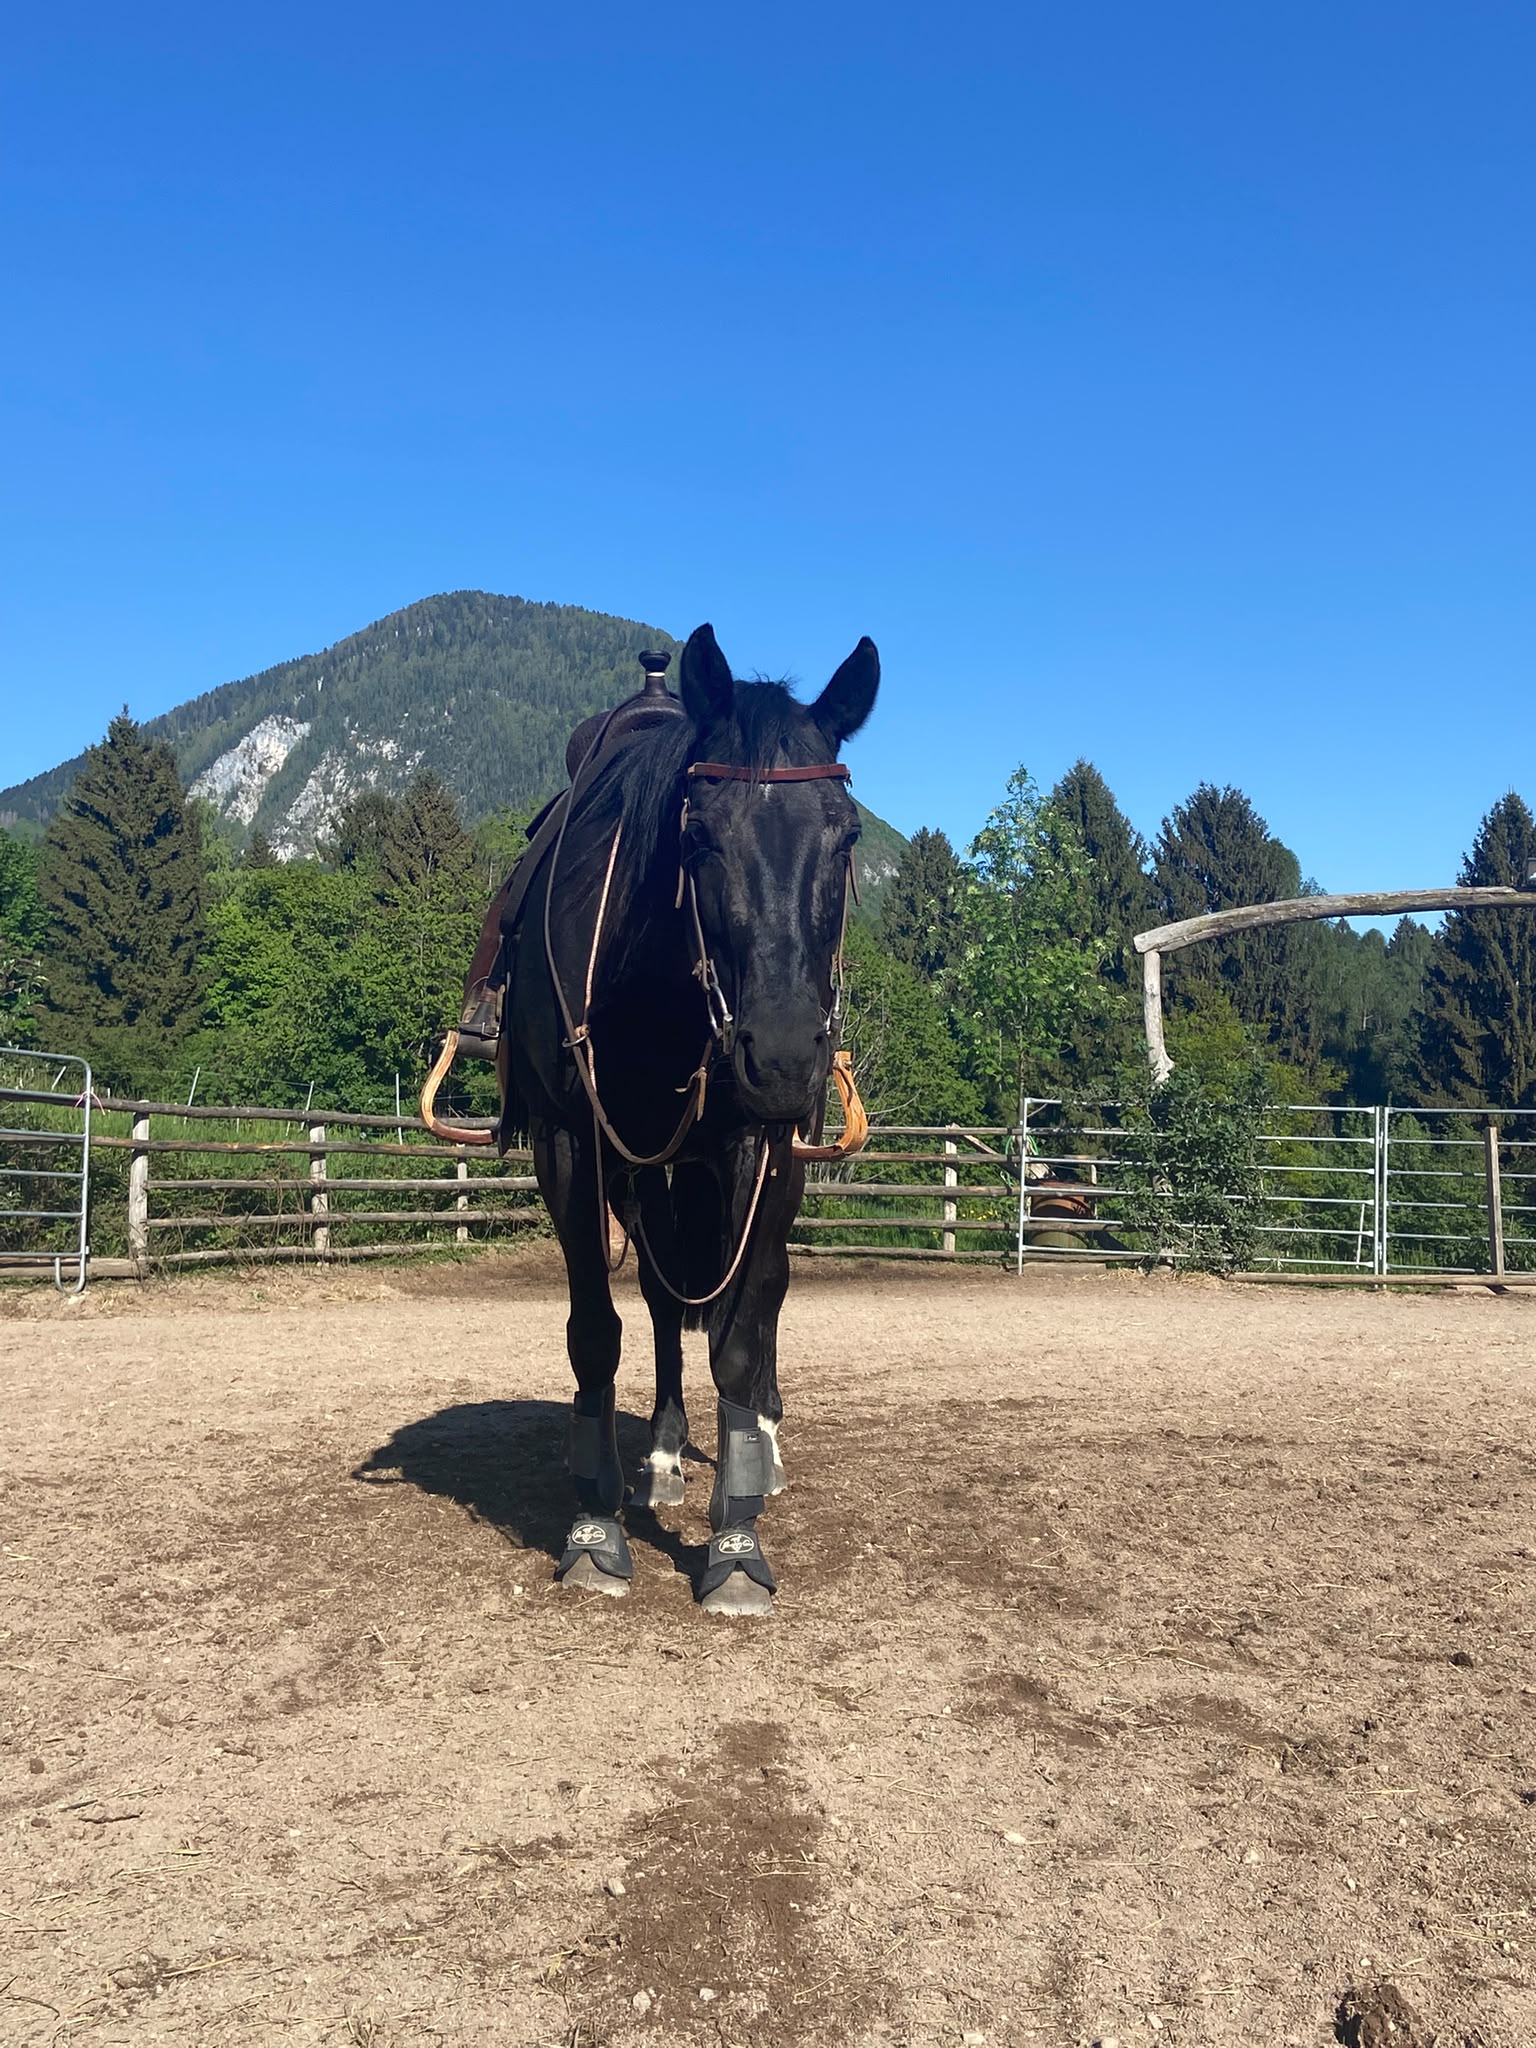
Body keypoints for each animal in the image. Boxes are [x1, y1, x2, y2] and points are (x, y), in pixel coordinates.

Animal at [497, 622, 879, 1616]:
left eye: (846, 834)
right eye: (699, 833)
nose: (781, 1055)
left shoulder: (758, 1145)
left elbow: (742, 1336)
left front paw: (737, 1541)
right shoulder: (573, 1146)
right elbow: (600, 1330)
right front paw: (596, 1526)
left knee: (763, 1291)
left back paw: (762, 1450)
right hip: (653, 1175)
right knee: (669, 1303)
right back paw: (666, 1455)